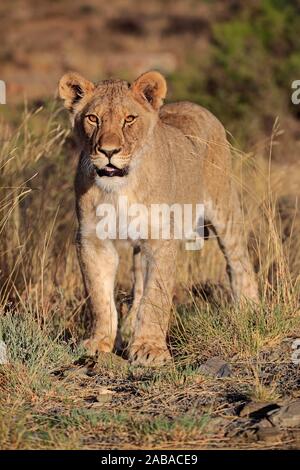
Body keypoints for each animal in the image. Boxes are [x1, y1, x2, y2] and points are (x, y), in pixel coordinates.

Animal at [58, 70, 258, 368]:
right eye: (93, 118)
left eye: (129, 119)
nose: (108, 151)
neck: (119, 188)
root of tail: (196, 106)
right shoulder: (93, 239)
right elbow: (99, 296)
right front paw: (100, 343)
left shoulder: (161, 238)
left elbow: (156, 296)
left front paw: (149, 348)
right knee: (140, 281)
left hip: (224, 206)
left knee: (238, 261)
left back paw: (250, 310)